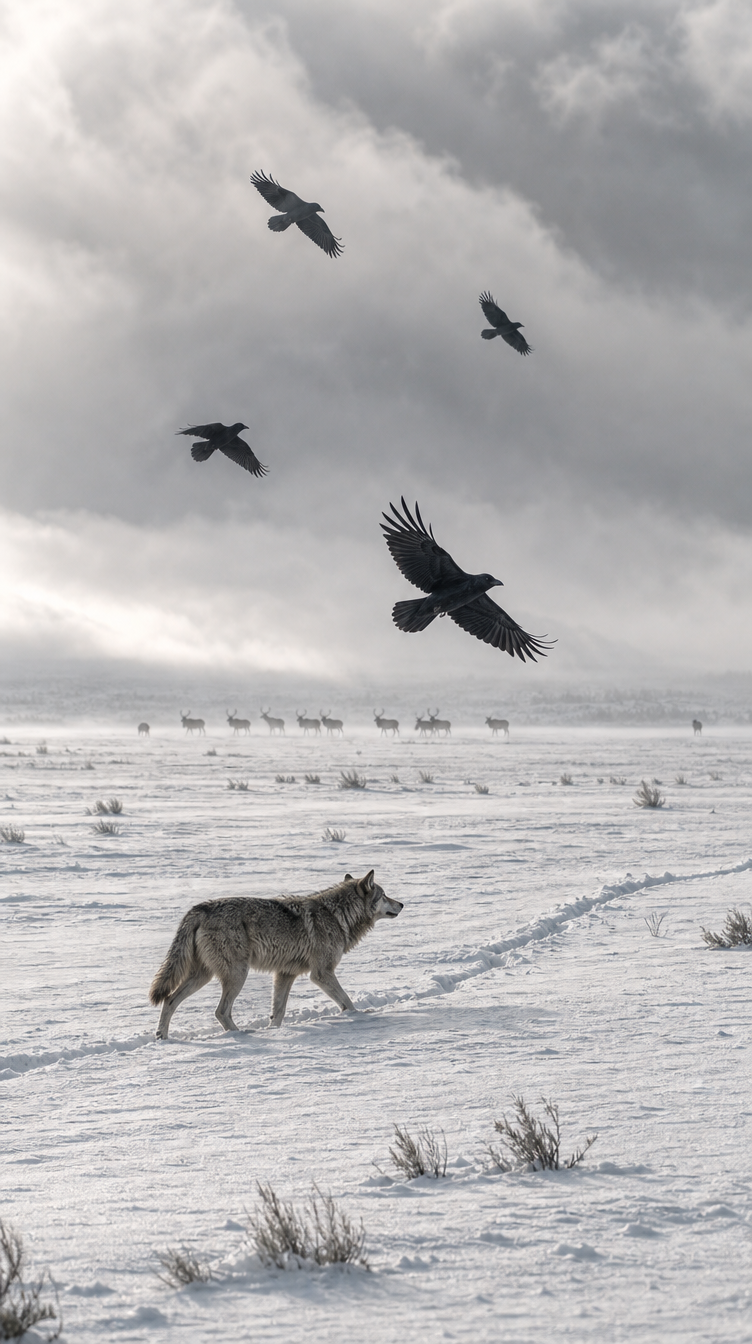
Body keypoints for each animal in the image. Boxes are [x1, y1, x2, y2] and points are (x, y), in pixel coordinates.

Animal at [149, 870, 402, 1039]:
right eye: (385, 895)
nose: (401, 904)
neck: (337, 915)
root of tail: (199, 909)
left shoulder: (285, 974)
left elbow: (278, 1013)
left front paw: (274, 1032)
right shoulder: (321, 974)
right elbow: (347, 1001)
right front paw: (360, 1017)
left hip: (204, 976)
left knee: (170, 1000)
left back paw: (162, 1038)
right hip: (237, 974)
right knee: (220, 1011)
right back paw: (241, 1035)